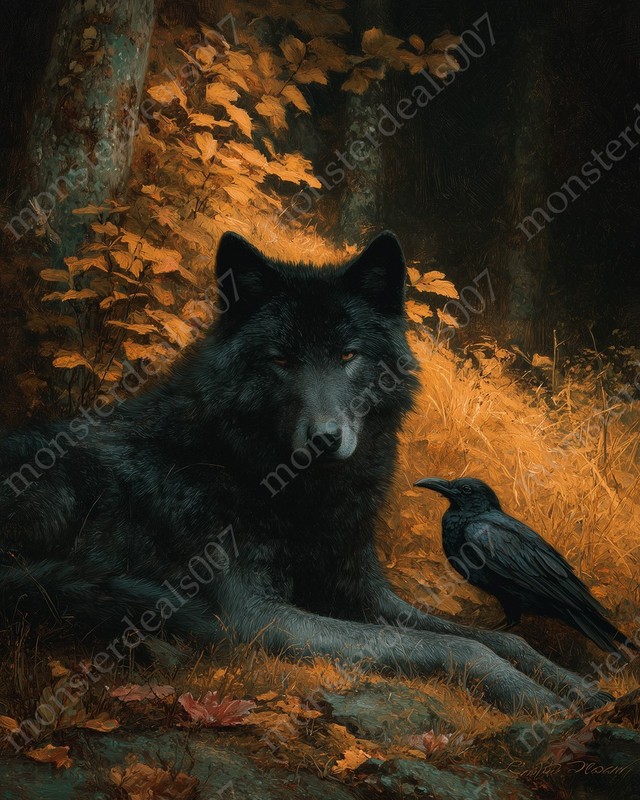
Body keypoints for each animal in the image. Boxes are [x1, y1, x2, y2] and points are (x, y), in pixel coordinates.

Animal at [0, 231, 610, 714]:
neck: (298, 497)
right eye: (281, 360)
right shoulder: (258, 615)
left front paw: (575, 684)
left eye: (347, 356)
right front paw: (536, 698)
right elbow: (458, 646)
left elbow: (500, 641)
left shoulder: (366, 594)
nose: (323, 439)